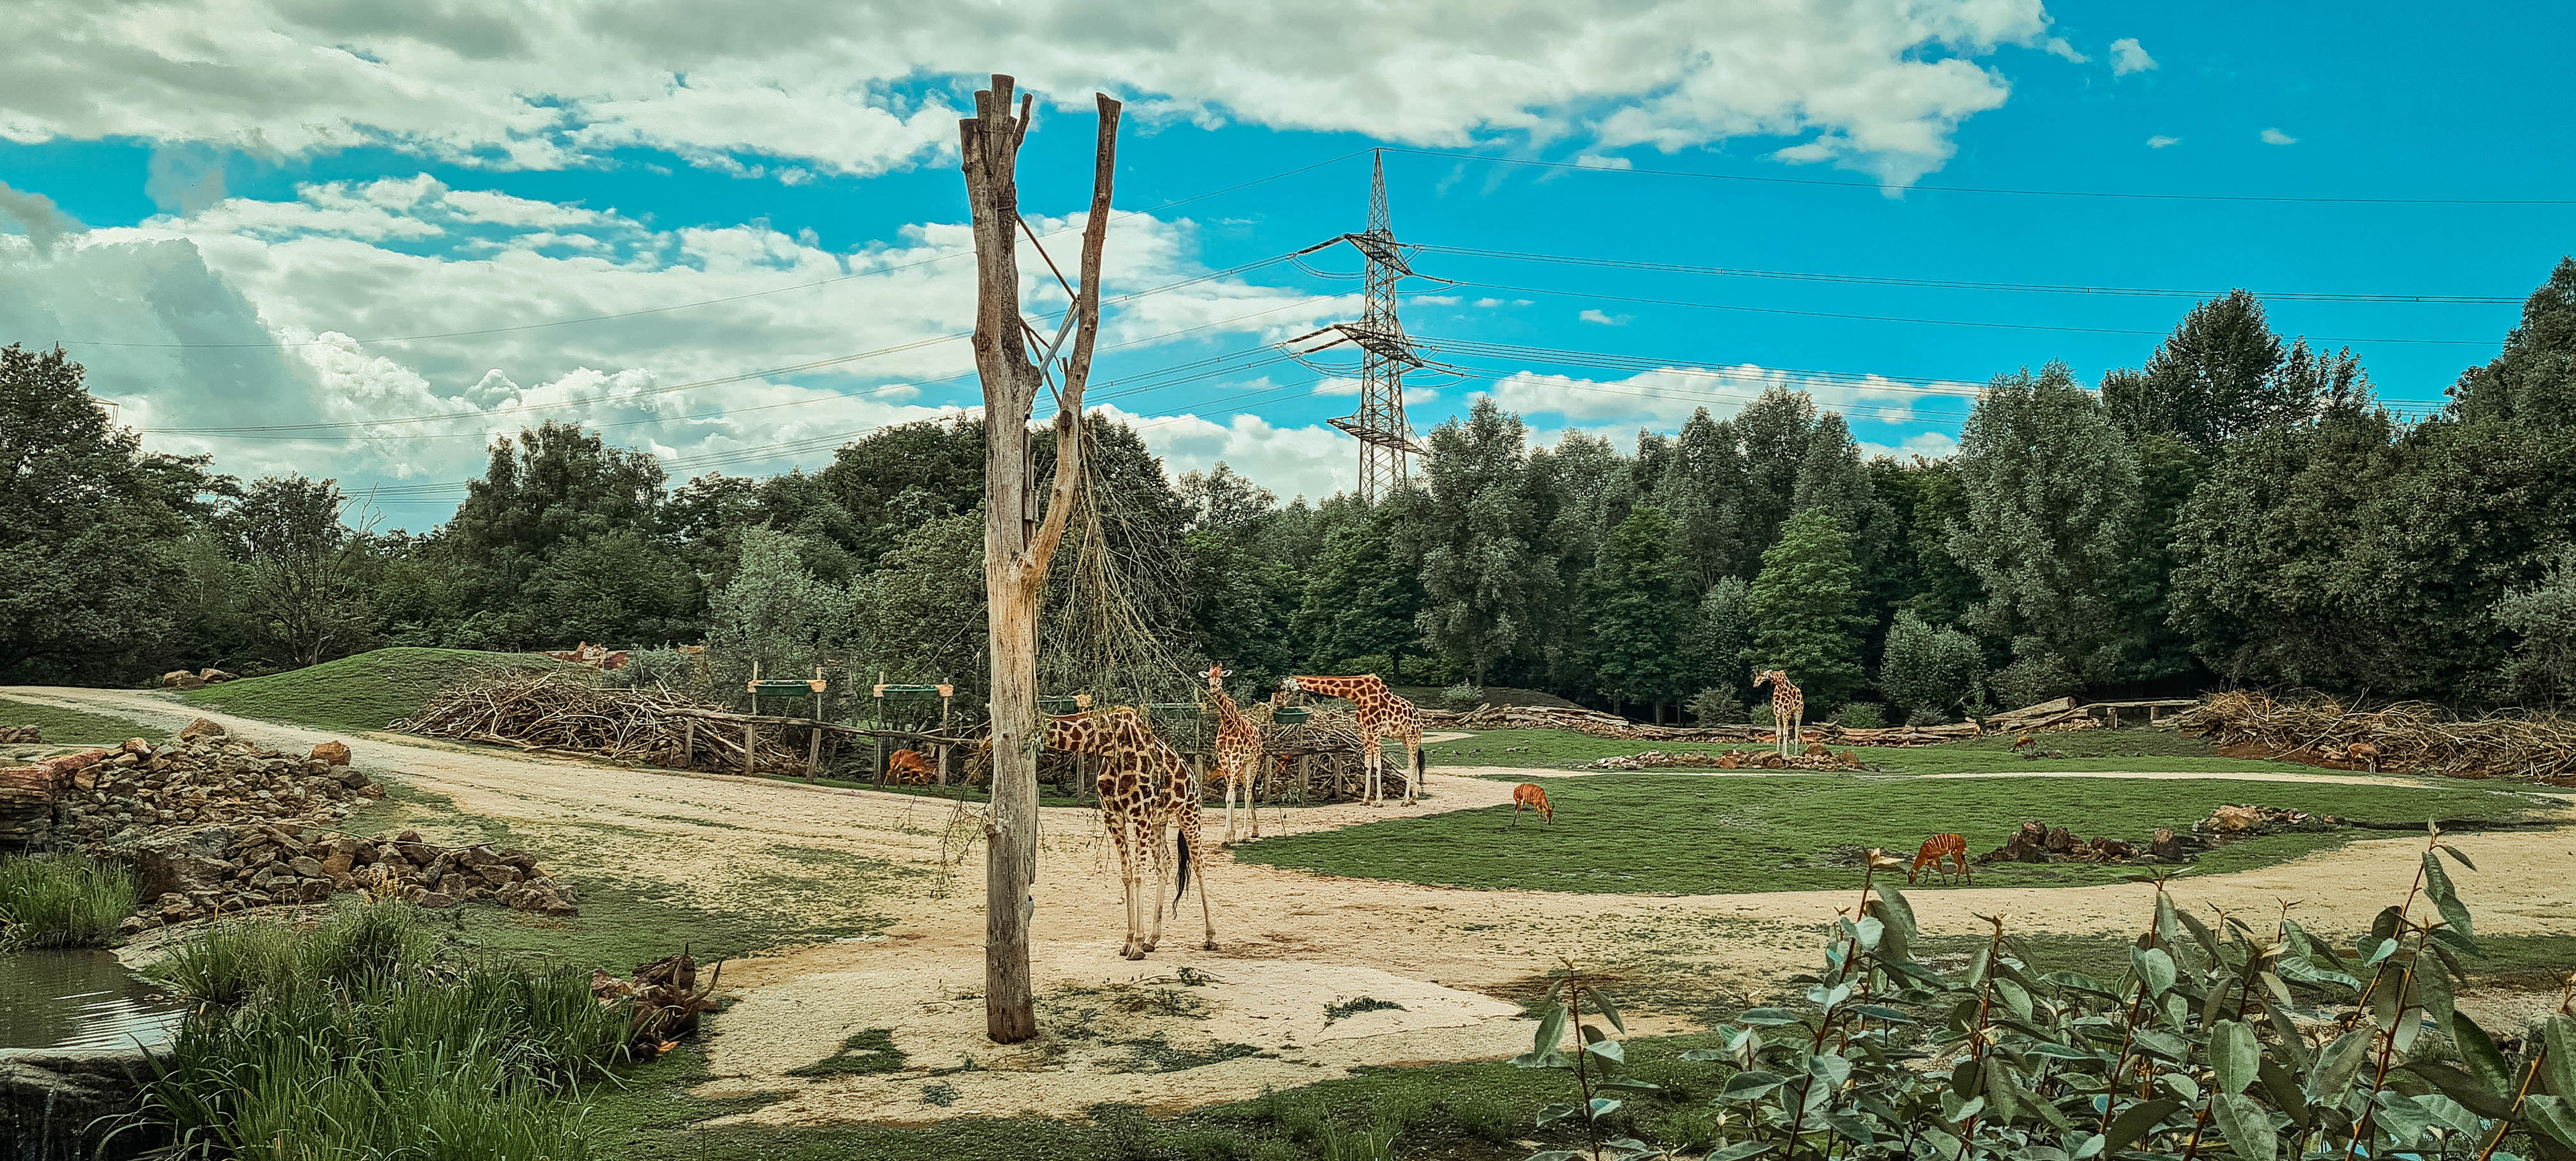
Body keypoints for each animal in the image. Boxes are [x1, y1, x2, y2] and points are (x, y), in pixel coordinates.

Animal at [1040, 709, 1219, 959]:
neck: (1106, 743)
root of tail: (1194, 776)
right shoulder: (1114, 815)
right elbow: (1126, 875)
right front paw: (1128, 941)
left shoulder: (1140, 814)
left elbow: (1139, 875)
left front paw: (1136, 945)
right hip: (1159, 821)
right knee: (1165, 863)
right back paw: (1153, 939)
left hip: (1189, 812)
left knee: (1199, 863)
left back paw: (1210, 938)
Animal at [1204, 665, 1265, 845]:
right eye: (1209, 676)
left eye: (1221, 676)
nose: (1214, 688)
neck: (1227, 724)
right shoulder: (1225, 760)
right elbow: (1229, 796)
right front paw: (1230, 835)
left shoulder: (1236, 758)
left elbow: (1232, 795)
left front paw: (1228, 836)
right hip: (1243, 768)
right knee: (1248, 794)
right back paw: (1254, 831)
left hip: (1253, 763)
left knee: (1248, 794)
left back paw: (1246, 834)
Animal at [1277, 674, 1423, 806]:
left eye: (1282, 688)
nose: (1278, 705)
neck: (1359, 696)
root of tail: (1419, 717)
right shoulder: (1365, 733)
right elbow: (1367, 765)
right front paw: (1365, 800)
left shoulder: (1376, 732)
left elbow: (1378, 765)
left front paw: (1378, 801)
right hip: (1404, 737)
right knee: (1415, 760)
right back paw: (1414, 798)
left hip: (1412, 734)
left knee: (1411, 762)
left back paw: (1405, 800)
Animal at [1752, 669, 1805, 758]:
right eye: (1757, 676)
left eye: (1762, 675)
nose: (1755, 684)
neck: (1780, 685)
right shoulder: (1778, 712)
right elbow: (1779, 732)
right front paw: (1777, 752)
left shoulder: (1786, 711)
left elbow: (1786, 733)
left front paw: (1786, 754)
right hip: (1787, 714)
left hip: (1799, 711)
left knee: (1796, 729)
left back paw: (1796, 752)